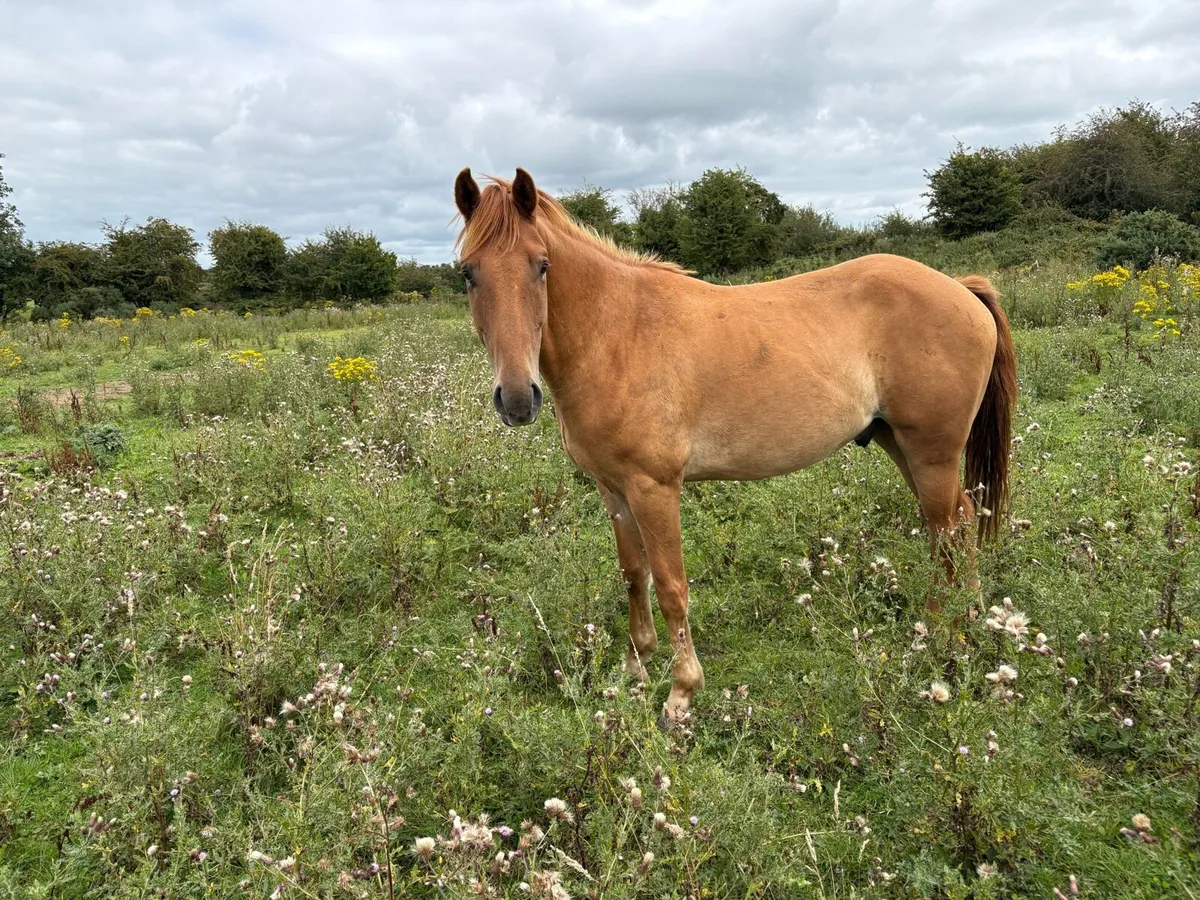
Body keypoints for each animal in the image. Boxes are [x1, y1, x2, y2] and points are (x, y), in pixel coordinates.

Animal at [453, 167, 1017, 723]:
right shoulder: (613, 489)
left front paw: (681, 693)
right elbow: (634, 575)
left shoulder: (654, 489)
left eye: (542, 265)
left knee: (946, 532)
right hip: (899, 444)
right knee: (960, 521)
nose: (517, 399)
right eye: (468, 273)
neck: (617, 336)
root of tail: (961, 289)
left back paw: (939, 632)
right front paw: (636, 669)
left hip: (931, 453)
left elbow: (671, 585)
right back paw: (966, 619)